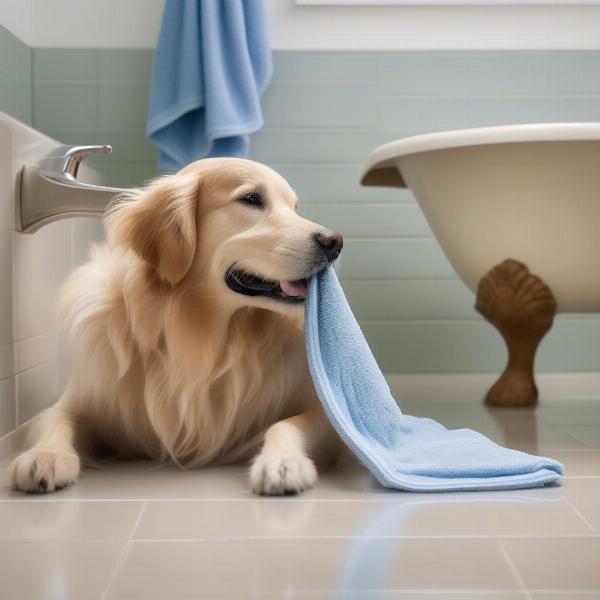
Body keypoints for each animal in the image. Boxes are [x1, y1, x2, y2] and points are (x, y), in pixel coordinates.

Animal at [9, 157, 344, 494]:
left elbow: (285, 424)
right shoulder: (81, 396)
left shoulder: (324, 412)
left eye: (295, 207)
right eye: (251, 199)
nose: (335, 242)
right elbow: (55, 420)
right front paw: (45, 456)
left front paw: (283, 463)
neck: (197, 328)